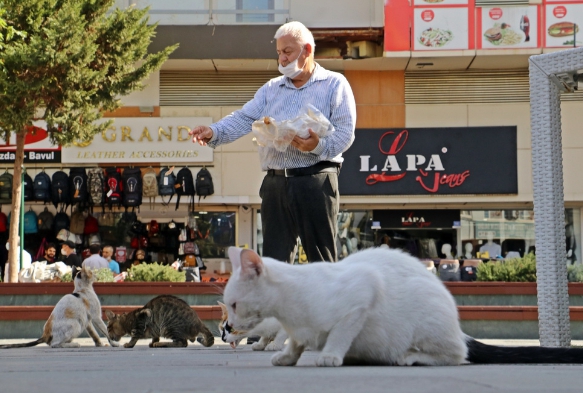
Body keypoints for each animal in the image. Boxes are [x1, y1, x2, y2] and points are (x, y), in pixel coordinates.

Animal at [224, 247, 583, 366]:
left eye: (233, 305)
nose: (228, 327)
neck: (287, 314)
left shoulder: (363, 292)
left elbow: (340, 332)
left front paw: (331, 355)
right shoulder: (296, 330)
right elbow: (296, 342)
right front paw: (287, 356)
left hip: (430, 328)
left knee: (458, 355)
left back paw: (410, 356)